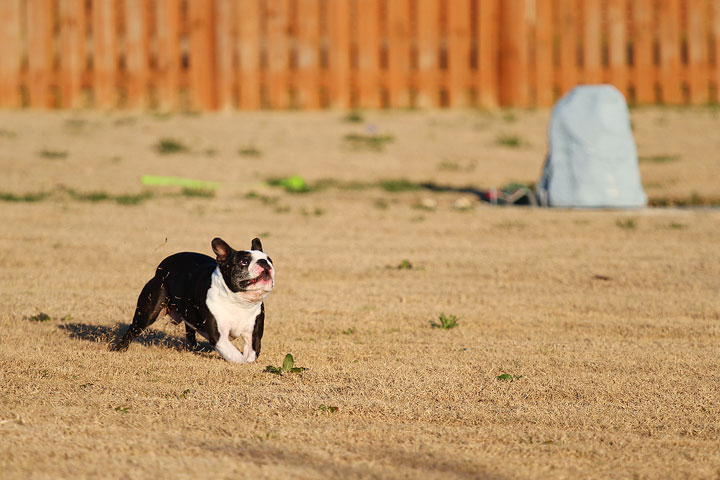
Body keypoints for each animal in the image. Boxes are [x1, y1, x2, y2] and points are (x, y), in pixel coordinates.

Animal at [110, 238, 276, 362]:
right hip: (149, 311)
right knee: (134, 328)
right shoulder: (218, 336)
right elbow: (235, 355)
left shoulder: (253, 336)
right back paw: (118, 348)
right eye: (244, 262)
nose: (264, 262)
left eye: (270, 260)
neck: (238, 302)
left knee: (189, 329)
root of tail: (163, 265)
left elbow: (251, 354)